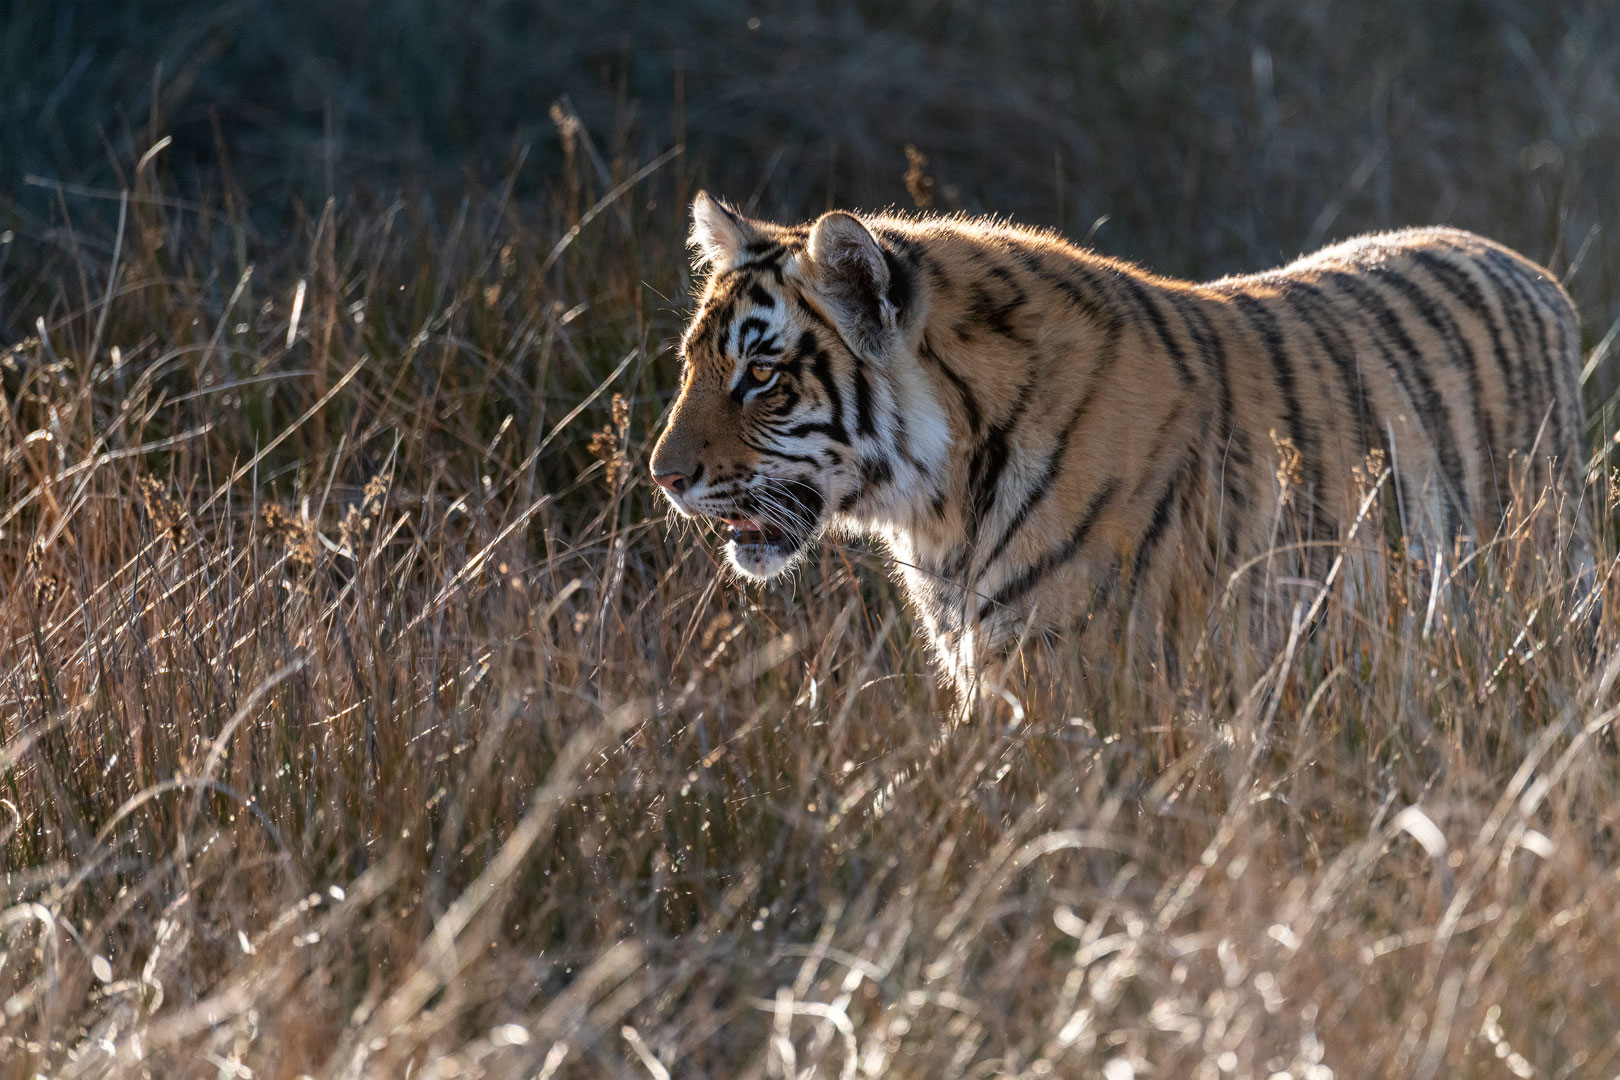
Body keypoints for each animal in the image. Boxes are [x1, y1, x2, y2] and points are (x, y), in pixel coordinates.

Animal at [644, 191, 1581, 702]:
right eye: (695, 364)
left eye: (762, 376)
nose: (663, 477)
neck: (940, 505)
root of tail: (1533, 272)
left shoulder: (1069, 682)